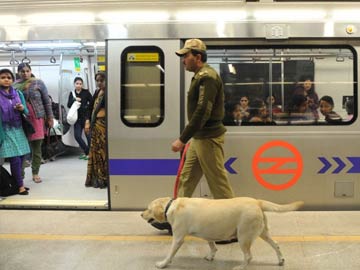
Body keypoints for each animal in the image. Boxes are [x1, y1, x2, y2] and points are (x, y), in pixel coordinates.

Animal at [141, 196, 304, 270]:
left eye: (148, 209)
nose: (141, 214)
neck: (171, 206)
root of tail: (257, 201)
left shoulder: (178, 238)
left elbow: (170, 254)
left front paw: (163, 264)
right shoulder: (208, 233)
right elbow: (212, 246)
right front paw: (211, 256)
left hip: (244, 236)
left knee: (248, 256)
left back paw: (241, 267)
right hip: (263, 232)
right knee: (276, 244)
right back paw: (281, 260)